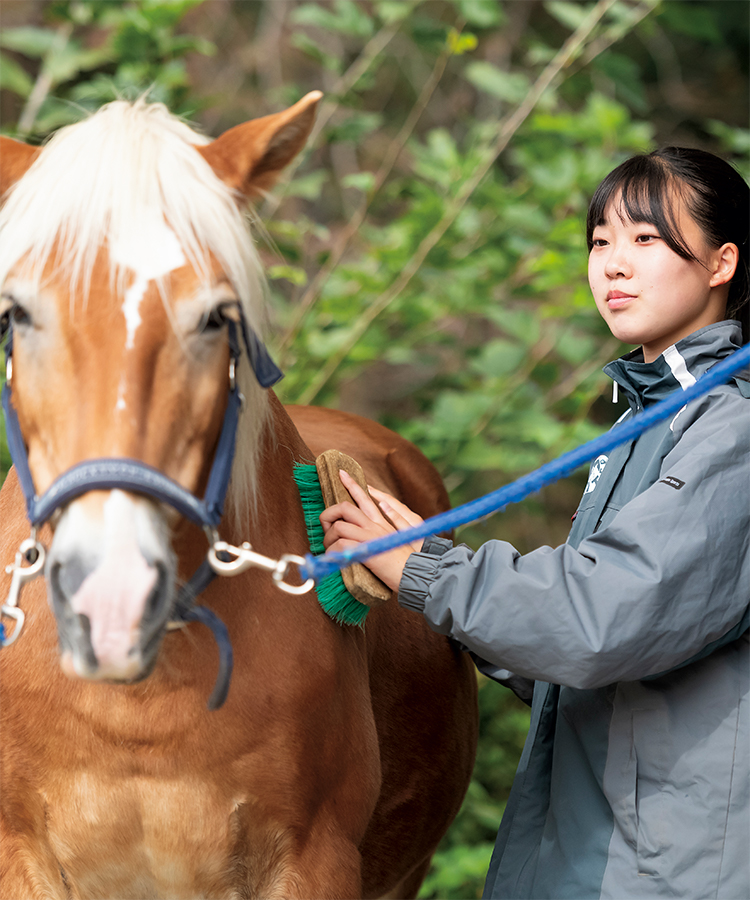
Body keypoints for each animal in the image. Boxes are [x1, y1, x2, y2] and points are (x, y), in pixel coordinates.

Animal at [0, 98, 478, 900]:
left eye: (212, 317)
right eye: (20, 314)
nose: (111, 597)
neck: (143, 699)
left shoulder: (314, 861)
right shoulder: (21, 858)